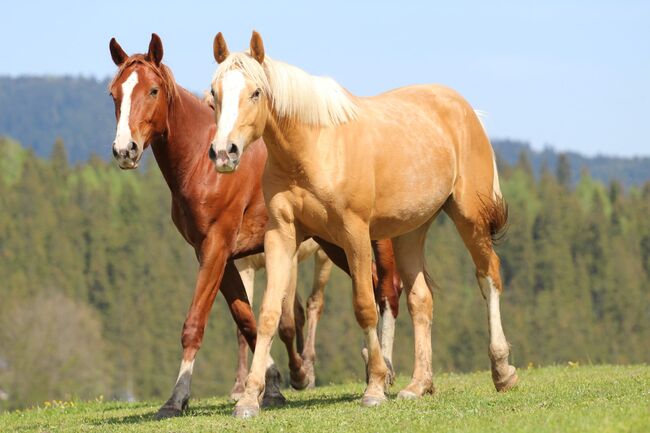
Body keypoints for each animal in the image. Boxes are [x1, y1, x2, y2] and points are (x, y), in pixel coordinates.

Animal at [106, 32, 400, 416]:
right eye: (114, 93)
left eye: (153, 90)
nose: (124, 150)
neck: (202, 163)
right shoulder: (220, 256)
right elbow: (247, 319)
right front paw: (271, 385)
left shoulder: (217, 247)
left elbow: (195, 322)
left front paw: (177, 398)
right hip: (335, 244)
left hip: (365, 241)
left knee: (387, 292)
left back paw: (385, 369)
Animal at [208, 32, 516, 416]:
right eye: (213, 93)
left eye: (256, 92)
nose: (224, 152)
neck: (313, 149)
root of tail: (466, 111)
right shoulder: (281, 235)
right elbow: (266, 314)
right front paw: (250, 398)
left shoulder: (353, 235)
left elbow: (365, 306)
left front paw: (375, 386)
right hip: (410, 232)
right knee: (421, 300)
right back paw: (419, 385)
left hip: (469, 217)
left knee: (489, 276)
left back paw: (502, 370)